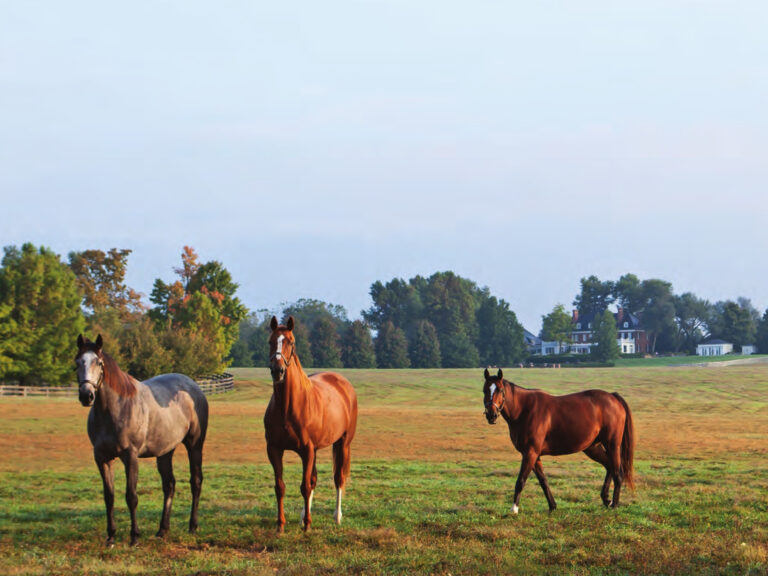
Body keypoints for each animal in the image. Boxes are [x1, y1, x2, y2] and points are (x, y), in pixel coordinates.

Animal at [75, 334, 208, 546]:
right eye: (77, 362)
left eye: (99, 362)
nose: (86, 395)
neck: (115, 409)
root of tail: (193, 387)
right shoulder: (102, 458)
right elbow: (109, 496)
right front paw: (111, 536)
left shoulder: (130, 456)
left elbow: (131, 496)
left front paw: (134, 537)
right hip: (165, 451)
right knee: (169, 485)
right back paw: (162, 529)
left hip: (195, 445)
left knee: (195, 481)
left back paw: (192, 526)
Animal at [264, 316, 358, 532]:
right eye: (270, 341)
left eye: (291, 342)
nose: (278, 371)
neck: (289, 407)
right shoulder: (274, 449)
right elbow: (280, 487)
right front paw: (281, 525)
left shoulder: (306, 450)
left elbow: (305, 486)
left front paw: (307, 526)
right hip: (316, 450)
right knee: (314, 479)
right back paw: (303, 516)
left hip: (343, 443)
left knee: (338, 478)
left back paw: (337, 516)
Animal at [482, 367, 634, 514]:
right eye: (484, 390)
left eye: (500, 390)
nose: (491, 415)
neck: (524, 410)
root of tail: (613, 397)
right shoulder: (535, 455)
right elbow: (543, 481)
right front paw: (552, 506)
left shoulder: (530, 452)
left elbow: (521, 480)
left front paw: (514, 509)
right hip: (593, 447)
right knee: (609, 466)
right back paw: (606, 499)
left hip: (612, 445)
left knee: (617, 473)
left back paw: (614, 504)